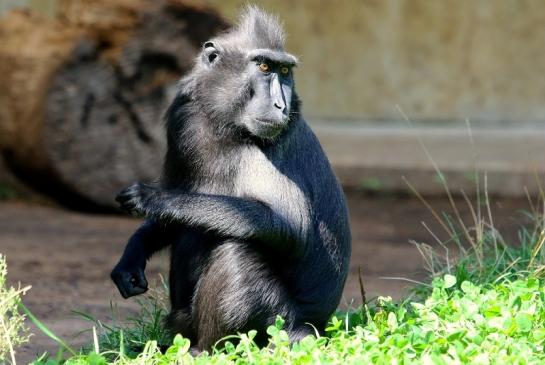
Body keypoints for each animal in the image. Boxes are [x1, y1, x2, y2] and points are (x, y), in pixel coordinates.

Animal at [110, 7, 350, 350]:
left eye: (285, 71)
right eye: (264, 66)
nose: (281, 105)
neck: (223, 123)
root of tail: (307, 326)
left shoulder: (267, 145)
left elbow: (291, 225)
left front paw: (154, 198)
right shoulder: (184, 117)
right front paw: (133, 253)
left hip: (277, 319)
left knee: (235, 249)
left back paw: (204, 350)